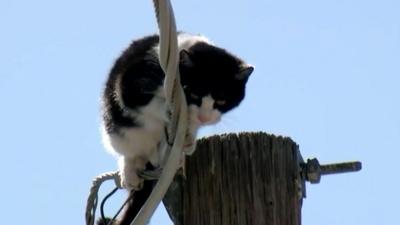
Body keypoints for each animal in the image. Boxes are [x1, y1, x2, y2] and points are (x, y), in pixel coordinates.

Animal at [101, 32, 253, 224]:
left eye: (222, 101)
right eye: (194, 93)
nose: (205, 117)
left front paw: (189, 137)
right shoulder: (133, 81)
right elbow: (146, 101)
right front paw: (168, 111)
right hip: (117, 130)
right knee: (129, 148)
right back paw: (130, 171)